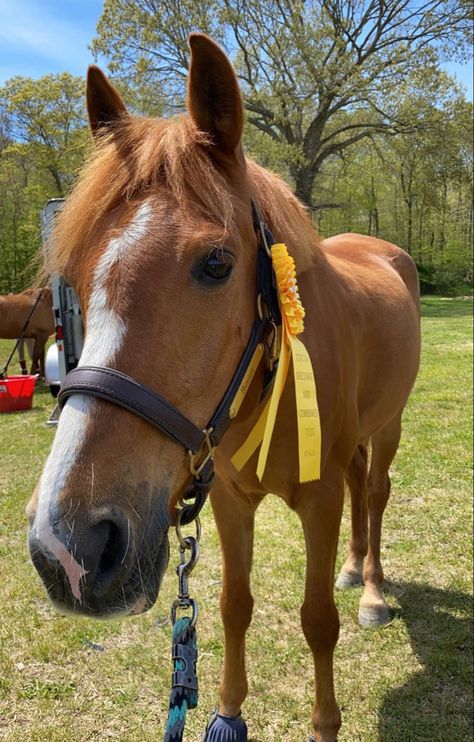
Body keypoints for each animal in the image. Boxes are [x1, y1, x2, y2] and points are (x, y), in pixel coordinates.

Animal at [26, 33, 418, 742]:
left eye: (216, 264)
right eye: (75, 271)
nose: (65, 549)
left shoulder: (318, 501)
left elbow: (318, 620)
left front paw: (324, 724)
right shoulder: (233, 500)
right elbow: (235, 605)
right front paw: (229, 711)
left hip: (390, 424)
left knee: (374, 493)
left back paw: (372, 589)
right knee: (360, 488)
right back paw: (354, 570)